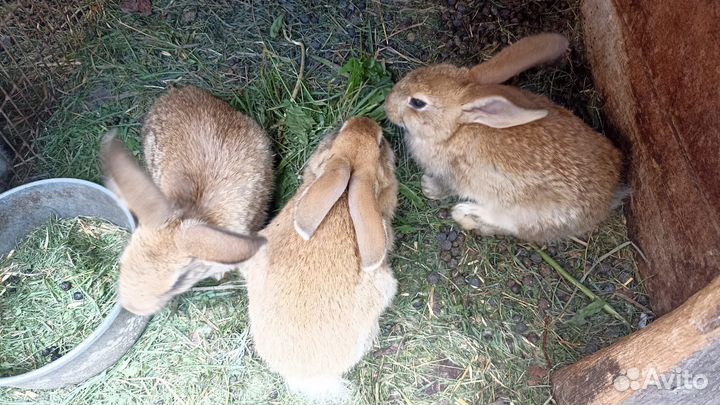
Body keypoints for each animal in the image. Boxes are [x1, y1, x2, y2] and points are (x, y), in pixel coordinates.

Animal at [385, 33, 624, 243]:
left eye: (418, 103)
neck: (455, 131)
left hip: (523, 212)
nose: (388, 106)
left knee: (508, 226)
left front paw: (428, 188)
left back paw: (466, 213)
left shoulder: (453, 174)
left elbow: (446, 187)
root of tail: (607, 199)